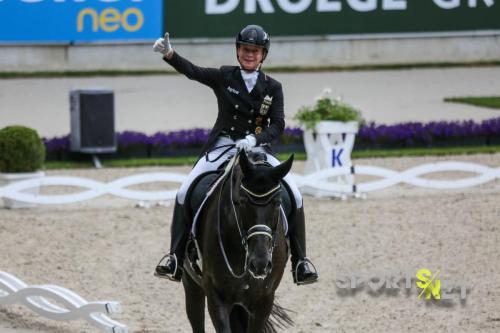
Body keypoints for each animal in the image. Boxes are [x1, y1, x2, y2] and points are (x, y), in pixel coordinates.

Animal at [183, 150, 292, 332]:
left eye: (278, 203)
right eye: (242, 202)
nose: (260, 264)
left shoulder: (263, 301)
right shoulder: (216, 297)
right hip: (192, 283)